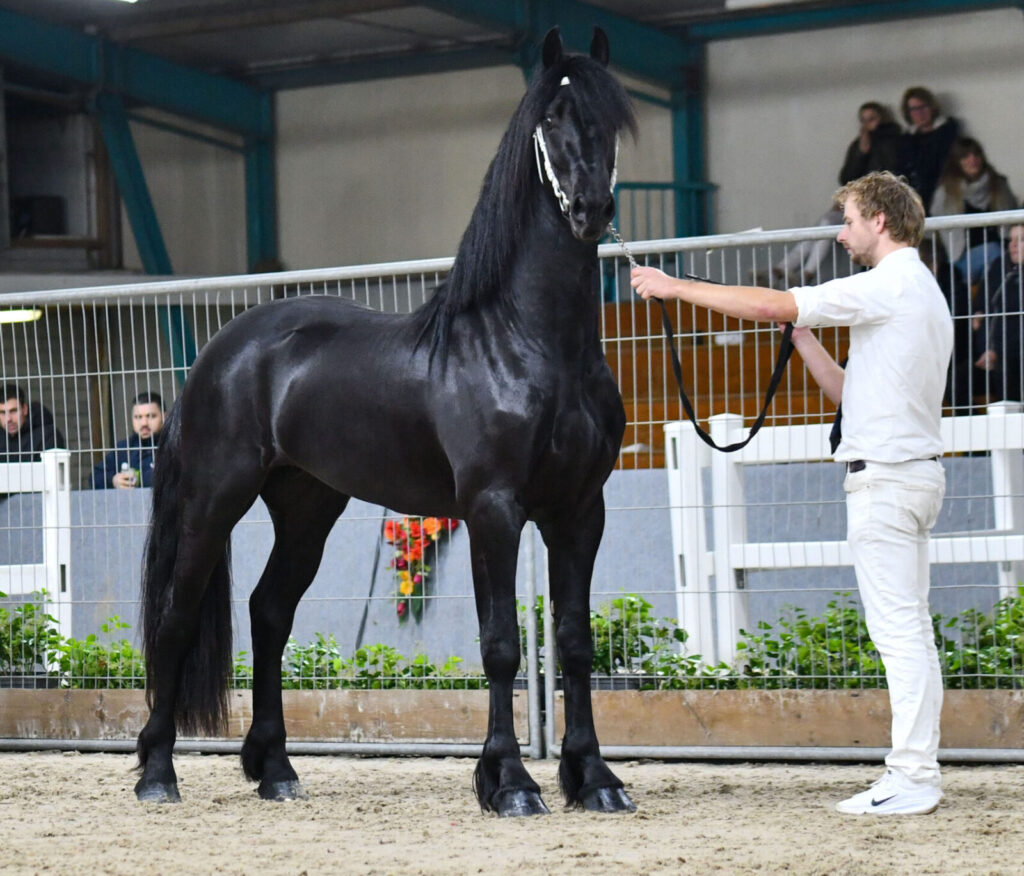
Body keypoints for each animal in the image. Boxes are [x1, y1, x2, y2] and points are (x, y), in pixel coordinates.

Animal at [133, 27, 634, 819]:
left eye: (611, 121)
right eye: (552, 119)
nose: (588, 208)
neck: (531, 341)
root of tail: (221, 348)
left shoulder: (581, 510)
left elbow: (575, 641)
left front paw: (594, 779)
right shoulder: (494, 509)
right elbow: (502, 645)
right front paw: (510, 783)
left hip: (307, 504)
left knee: (270, 611)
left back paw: (276, 769)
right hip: (216, 497)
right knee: (179, 616)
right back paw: (158, 772)